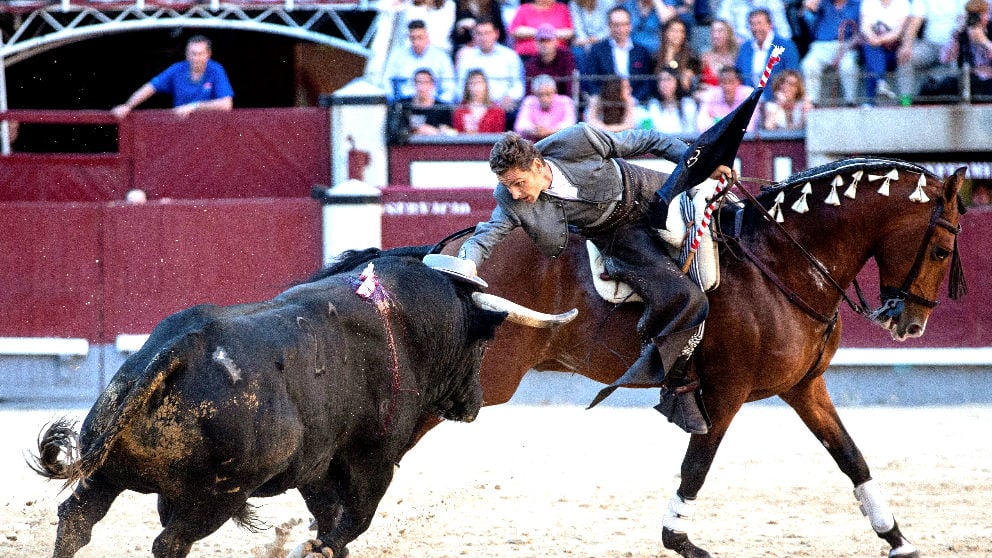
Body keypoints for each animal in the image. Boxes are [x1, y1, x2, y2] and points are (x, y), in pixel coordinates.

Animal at [31, 248, 572, 558]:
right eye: (480, 346)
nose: (472, 404)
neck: (404, 318)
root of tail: (179, 349)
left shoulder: (317, 466)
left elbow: (329, 514)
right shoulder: (373, 459)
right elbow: (350, 522)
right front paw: (318, 548)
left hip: (109, 471)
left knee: (77, 520)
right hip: (214, 497)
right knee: (169, 543)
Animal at [430, 159, 964, 558]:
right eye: (941, 250)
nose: (911, 325)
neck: (781, 264)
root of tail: (453, 252)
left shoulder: (805, 387)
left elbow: (851, 457)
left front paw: (897, 540)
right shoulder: (725, 392)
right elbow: (697, 465)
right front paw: (679, 538)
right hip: (488, 377)